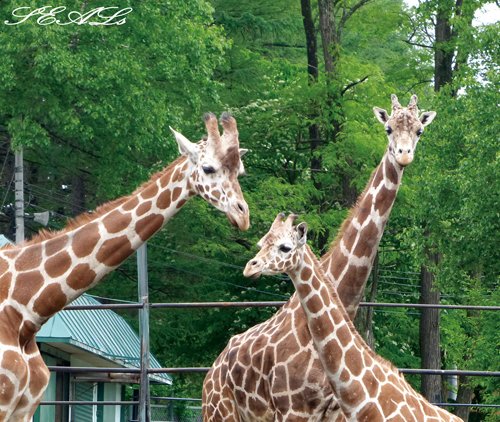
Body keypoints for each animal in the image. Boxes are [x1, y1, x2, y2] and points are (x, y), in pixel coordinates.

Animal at [203, 94, 438, 420]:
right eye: (388, 128)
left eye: (419, 131)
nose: (403, 155)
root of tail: (210, 373)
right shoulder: (291, 407)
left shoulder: (337, 408)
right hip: (219, 411)